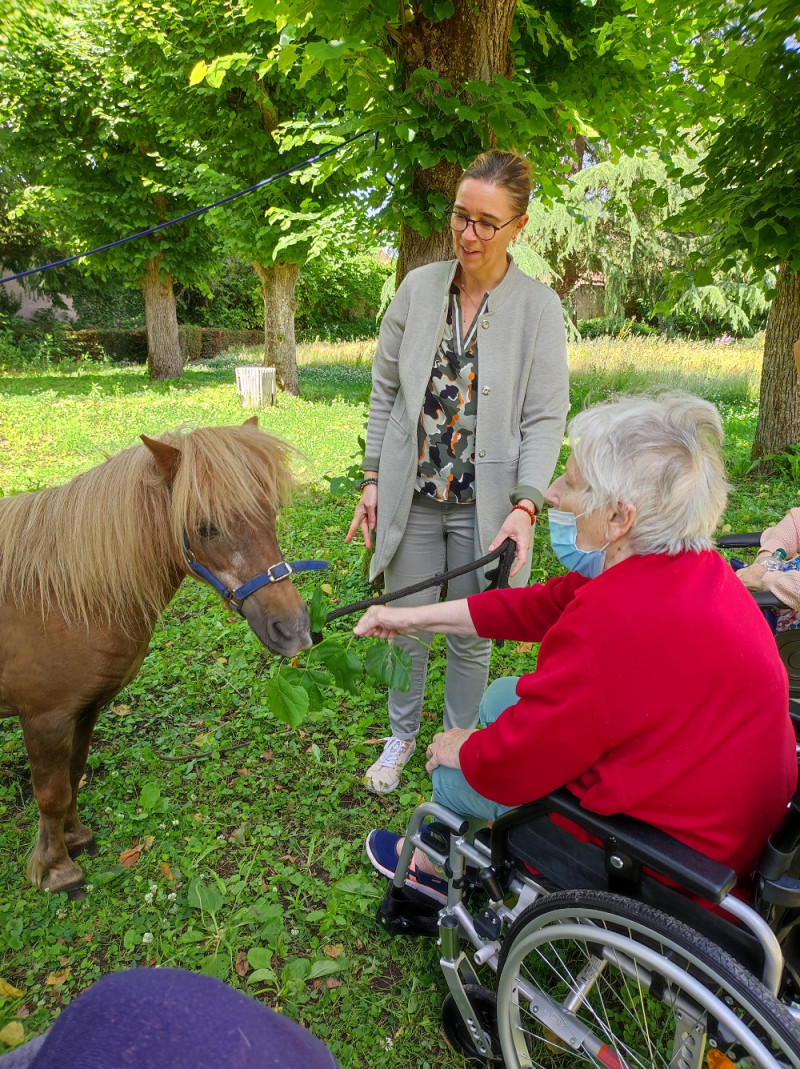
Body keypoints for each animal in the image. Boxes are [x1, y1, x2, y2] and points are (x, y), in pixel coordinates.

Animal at [0, 416, 314, 893]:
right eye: (205, 527)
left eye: (272, 512)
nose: (294, 629)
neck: (59, 596)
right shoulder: (44, 718)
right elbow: (51, 794)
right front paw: (56, 869)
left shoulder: (84, 708)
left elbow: (73, 773)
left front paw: (75, 838)